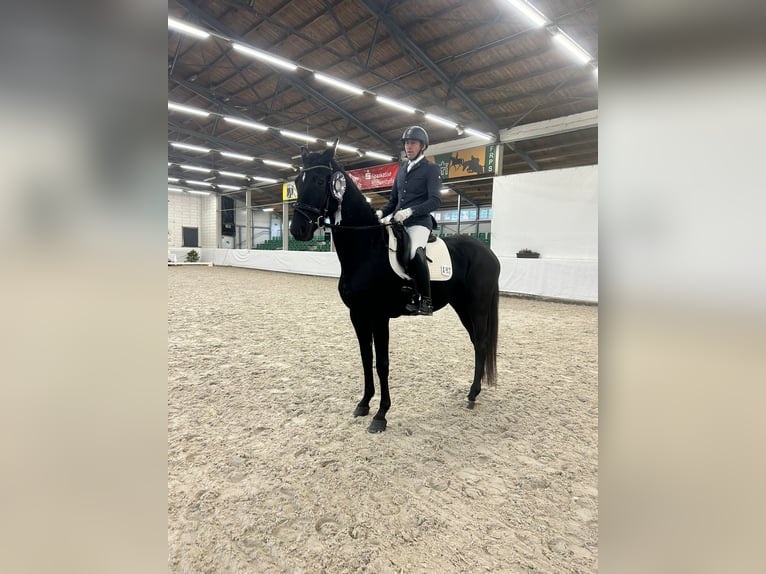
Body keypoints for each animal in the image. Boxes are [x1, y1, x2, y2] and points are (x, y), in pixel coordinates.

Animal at [290, 144, 501, 433]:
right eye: (298, 182)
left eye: (321, 181)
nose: (298, 230)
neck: (367, 250)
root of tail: (488, 252)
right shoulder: (358, 315)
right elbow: (365, 358)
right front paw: (364, 404)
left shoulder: (379, 317)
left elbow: (382, 364)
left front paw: (381, 415)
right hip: (461, 306)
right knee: (476, 342)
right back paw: (472, 393)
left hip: (477, 306)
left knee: (480, 342)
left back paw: (472, 395)